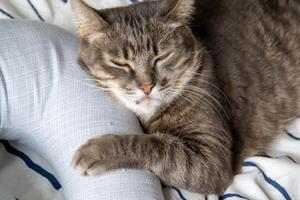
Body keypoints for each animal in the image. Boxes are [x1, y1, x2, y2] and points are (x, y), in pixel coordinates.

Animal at [70, 0, 300, 194]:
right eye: (120, 63)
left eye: (162, 57)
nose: (147, 87)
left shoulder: (212, 159)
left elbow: (153, 145)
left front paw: (98, 150)